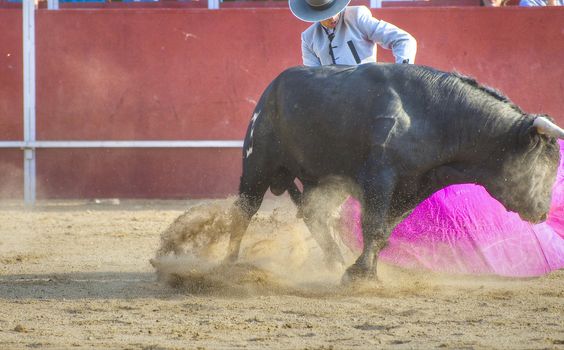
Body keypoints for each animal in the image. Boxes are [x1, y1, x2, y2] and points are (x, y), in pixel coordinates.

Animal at [223, 63, 560, 282]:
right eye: (541, 164)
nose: (542, 213)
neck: (437, 116)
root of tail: (272, 88)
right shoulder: (380, 178)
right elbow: (373, 225)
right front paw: (359, 275)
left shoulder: (418, 184)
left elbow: (385, 230)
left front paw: (366, 271)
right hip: (258, 163)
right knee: (245, 209)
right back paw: (229, 264)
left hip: (322, 180)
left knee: (314, 214)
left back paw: (334, 261)